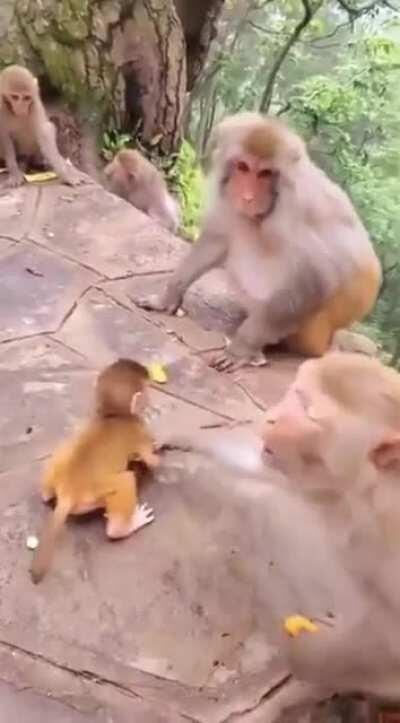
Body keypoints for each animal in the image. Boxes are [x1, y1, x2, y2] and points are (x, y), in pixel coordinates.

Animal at [30, 358, 158, 584]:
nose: (149, 403)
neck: (112, 415)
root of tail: (68, 491)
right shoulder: (140, 431)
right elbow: (151, 458)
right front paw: (158, 451)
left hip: (56, 472)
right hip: (93, 496)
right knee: (126, 479)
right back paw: (122, 528)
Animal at [136, 113, 381, 372]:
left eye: (265, 173)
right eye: (243, 167)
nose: (248, 197)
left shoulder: (302, 209)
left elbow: (314, 282)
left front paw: (241, 348)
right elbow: (218, 240)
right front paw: (167, 298)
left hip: (313, 332)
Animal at [157, 353, 400, 718]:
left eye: (308, 410)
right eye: (296, 393)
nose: (271, 417)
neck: (365, 486)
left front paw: (305, 662)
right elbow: (262, 468)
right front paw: (179, 437)